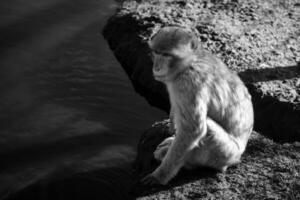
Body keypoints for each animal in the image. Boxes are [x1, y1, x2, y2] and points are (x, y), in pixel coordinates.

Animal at [142, 26, 254, 186]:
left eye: (166, 54)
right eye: (156, 52)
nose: (156, 67)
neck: (189, 62)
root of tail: (238, 157)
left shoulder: (190, 82)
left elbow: (192, 130)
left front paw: (159, 176)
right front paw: (171, 128)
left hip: (225, 153)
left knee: (207, 130)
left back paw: (185, 162)